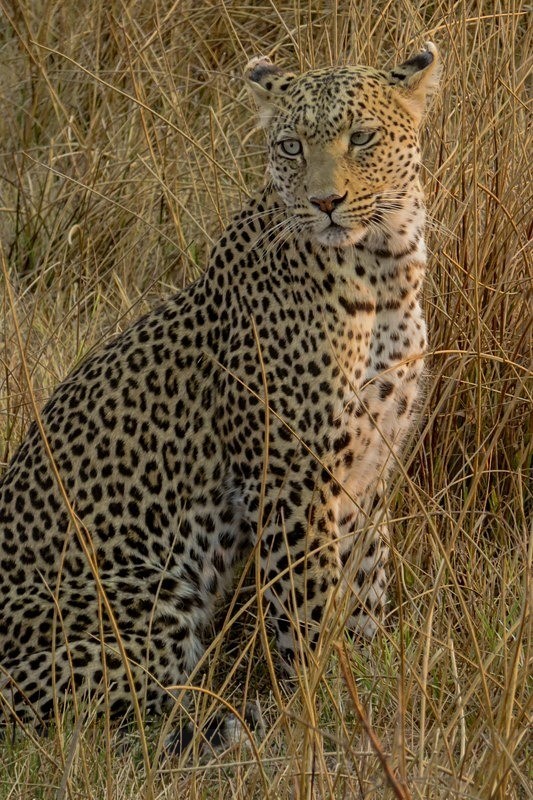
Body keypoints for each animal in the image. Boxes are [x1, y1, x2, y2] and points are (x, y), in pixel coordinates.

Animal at [0, 43, 440, 748]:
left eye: (362, 138)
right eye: (290, 146)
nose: (326, 202)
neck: (385, 266)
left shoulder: (371, 465)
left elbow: (365, 585)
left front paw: (370, 682)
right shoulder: (292, 477)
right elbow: (308, 606)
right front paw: (319, 709)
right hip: (156, 605)